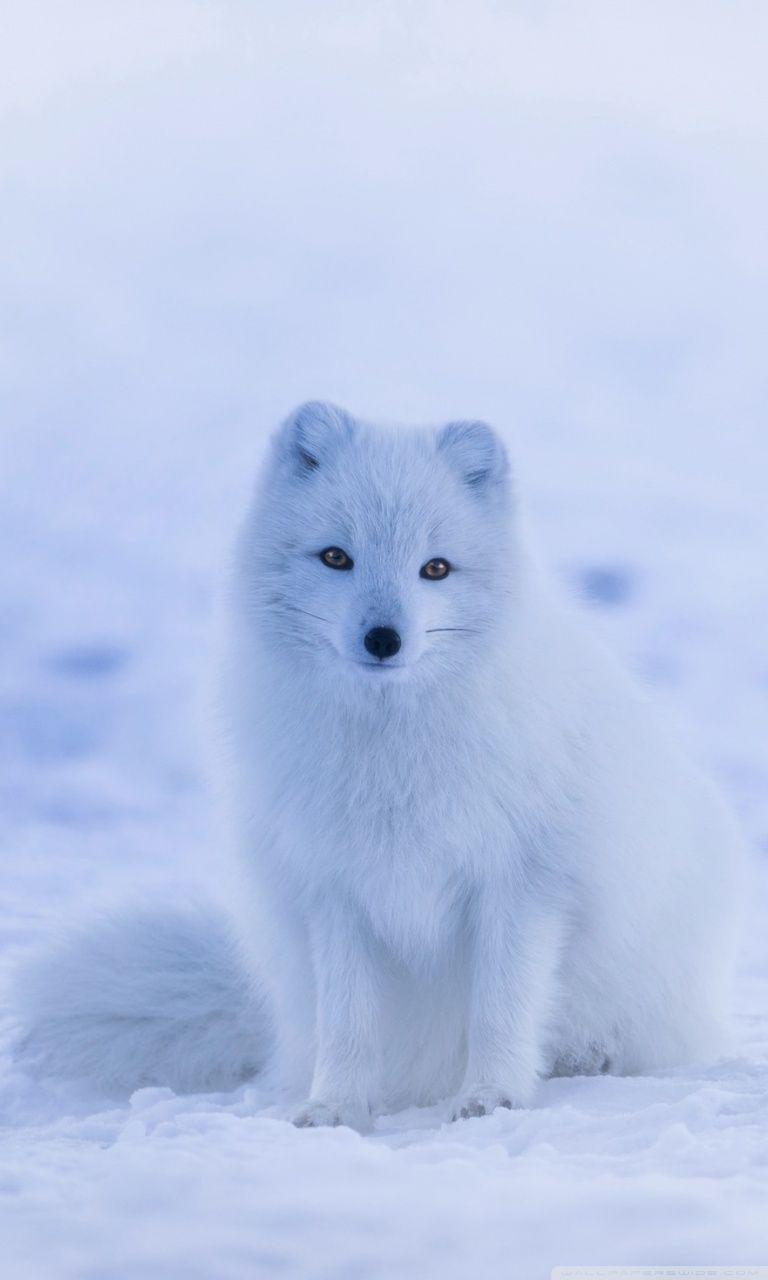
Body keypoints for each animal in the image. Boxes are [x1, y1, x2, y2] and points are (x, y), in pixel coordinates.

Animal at [14, 402, 743, 1129]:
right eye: (337, 557)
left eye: (436, 569)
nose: (384, 639)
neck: (391, 752)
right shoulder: (334, 889)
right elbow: (348, 1023)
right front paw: (335, 1107)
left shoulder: (523, 882)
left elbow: (501, 1008)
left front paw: (491, 1096)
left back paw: (586, 1056)